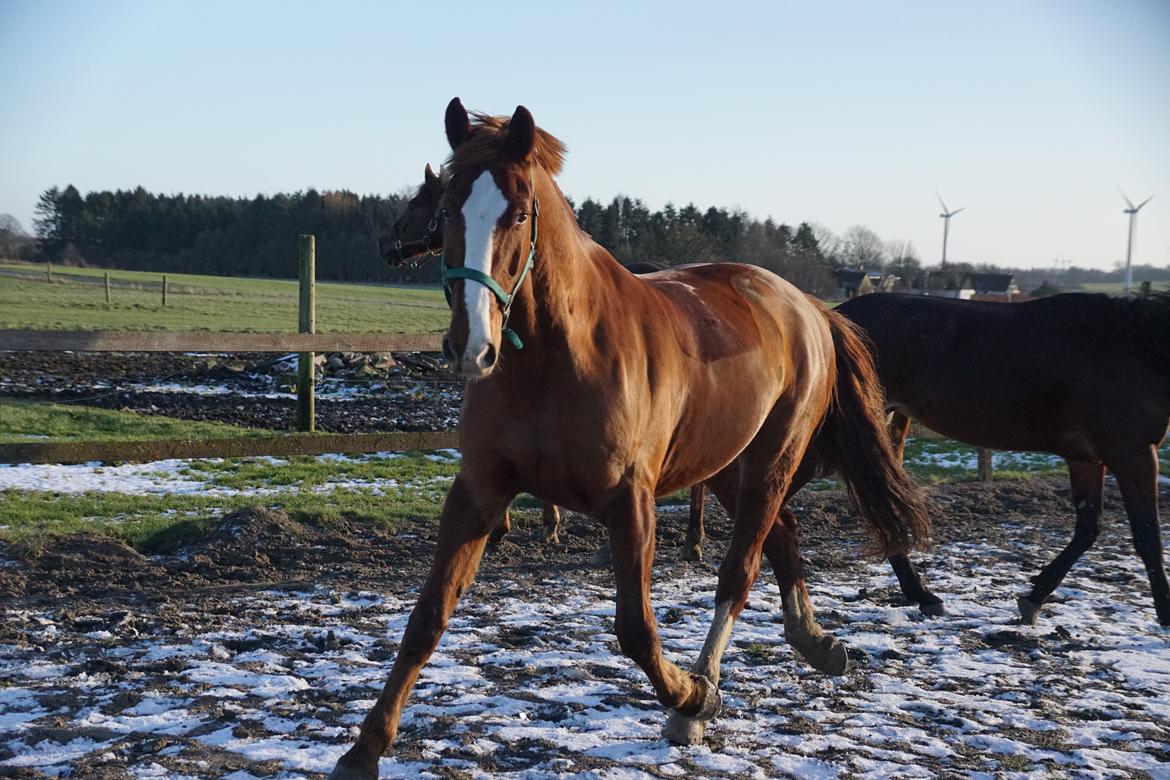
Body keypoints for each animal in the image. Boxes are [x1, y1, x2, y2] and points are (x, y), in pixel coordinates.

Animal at [332, 100, 931, 776]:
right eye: (448, 210)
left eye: (518, 213)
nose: (470, 346)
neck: (555, 358)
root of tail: (807, 305)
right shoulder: (479, 491)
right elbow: (427, 616)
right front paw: (364, 748)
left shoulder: (630, 501)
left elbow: (637, 631)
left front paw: (694, 697)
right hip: (725, 466)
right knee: (784, 534)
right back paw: (817, 642)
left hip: (773, 459)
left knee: (739, 571)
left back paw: (701, 694)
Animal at [837, 292, 1165, 626]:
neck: (1128, 346)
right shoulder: (1133, 453)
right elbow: (1148, 536)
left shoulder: (1087, 460)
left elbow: (1088, 529)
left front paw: (1033, 599)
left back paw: (923, 595)